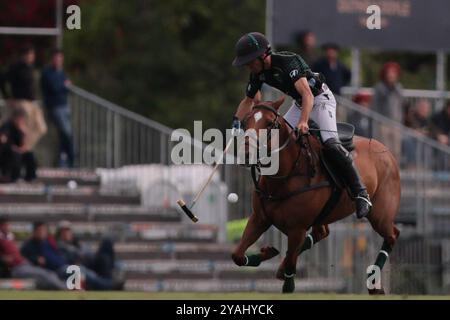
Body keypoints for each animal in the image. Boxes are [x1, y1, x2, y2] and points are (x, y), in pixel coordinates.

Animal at [232, 96, 400, 294]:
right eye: (246, 121)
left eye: (270, 123)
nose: (246, 153)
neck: (285, 175)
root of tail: (386, 150)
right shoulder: (259, 218)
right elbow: (237, 255)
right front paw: (267, 253)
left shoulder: (296, 229)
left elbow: (290, 275)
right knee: (321, 233)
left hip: (380, 214)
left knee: (392, 235)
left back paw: (374, 285)